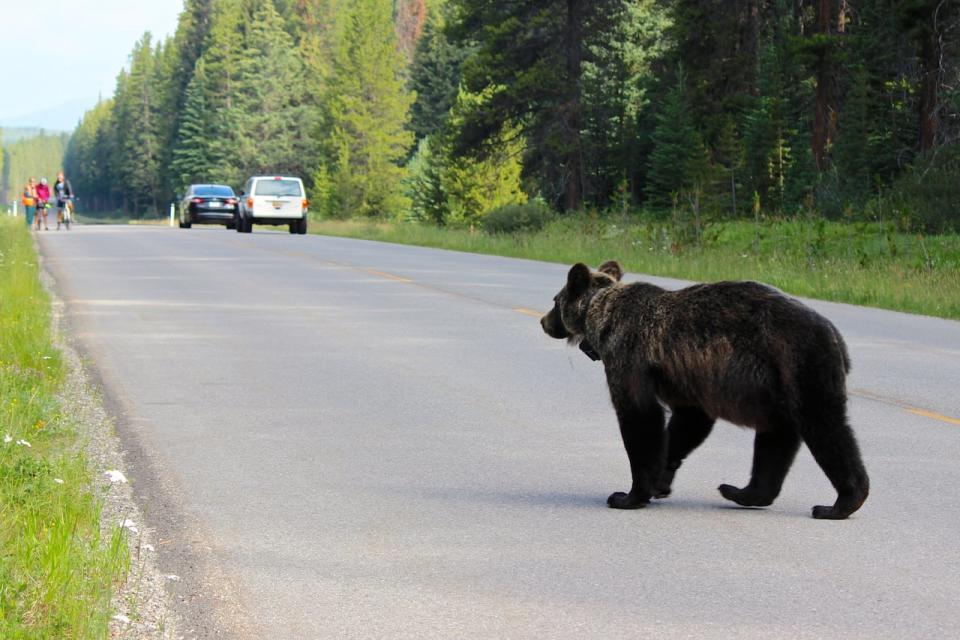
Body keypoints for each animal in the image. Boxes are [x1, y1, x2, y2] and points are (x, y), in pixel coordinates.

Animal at [540, 262, 872, 520]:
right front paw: (662, 479)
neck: (601, 312)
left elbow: (640, 417)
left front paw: (628, 495)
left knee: (825, 427)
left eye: (555, 300)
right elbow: (688, 423)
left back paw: (840, 502)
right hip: (778, 386)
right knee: (776, 439)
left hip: (802, 364)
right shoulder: (687, 379)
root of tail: (836, 336)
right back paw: (742, 491)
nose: (544, 321)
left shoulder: (629, 354)